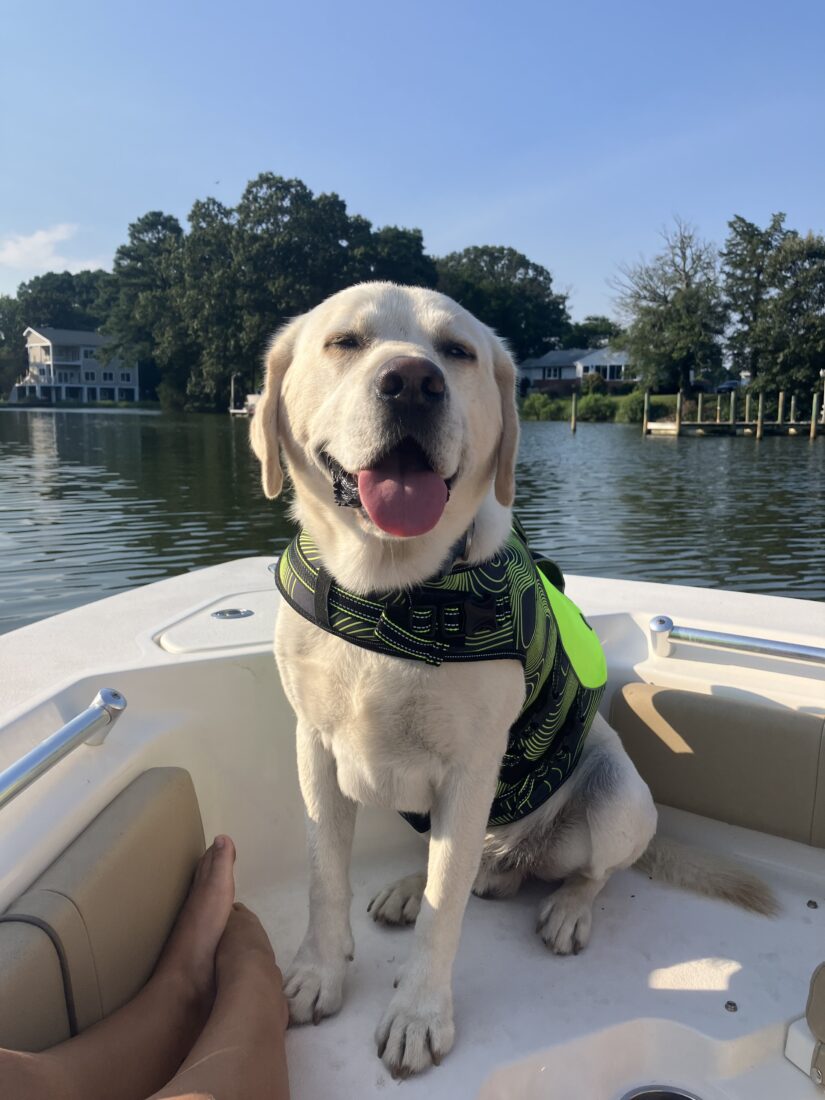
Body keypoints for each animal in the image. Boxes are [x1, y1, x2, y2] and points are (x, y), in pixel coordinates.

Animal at [248, 279, 778, 1078]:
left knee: (578, 872)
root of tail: (515, 858)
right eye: (344, 342)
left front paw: (419, 1015)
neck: (389, 592)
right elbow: (324, 877)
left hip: (619, 798)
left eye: (457, 352)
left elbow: (445, 917)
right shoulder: (313, 745)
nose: (414, 382)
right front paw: (319, 972)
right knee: (462, 867)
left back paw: (565, 908)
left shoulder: (471, 769)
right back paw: (417, 885)